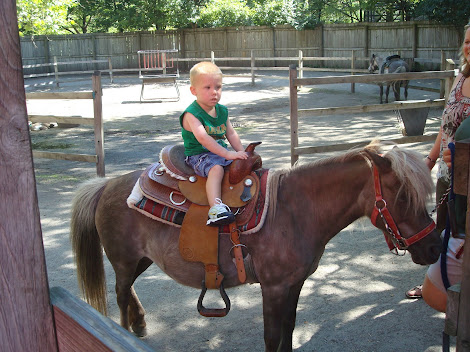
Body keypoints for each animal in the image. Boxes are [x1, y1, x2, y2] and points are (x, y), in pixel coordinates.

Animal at [69, 141, 440, 352]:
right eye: (404, 197)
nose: (434, 248)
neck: (294, 210)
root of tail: (107, 185)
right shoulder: (273, 288)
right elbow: (272, 336)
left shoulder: (294, 284)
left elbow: (289, 330)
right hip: (123, 259)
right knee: (120, 294)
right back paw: (127, 329)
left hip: (141, 259)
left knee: (128, 289)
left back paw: (141, 324)